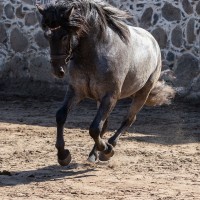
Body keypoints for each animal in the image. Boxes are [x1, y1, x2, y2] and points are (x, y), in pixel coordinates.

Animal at [36, 0, 174, 166]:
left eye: (64, 36)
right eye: (47, 36)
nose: (58, 70)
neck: (94, 54)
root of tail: (153, 40)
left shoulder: (110, 97)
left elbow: (94, 128)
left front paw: (107, 150)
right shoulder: (76, 91)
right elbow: (61, 116)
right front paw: (63, 155)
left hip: (142, 93)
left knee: (128, 120)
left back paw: (108, 148)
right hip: (100, 99)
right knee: (105, 125)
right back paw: (93, 154)